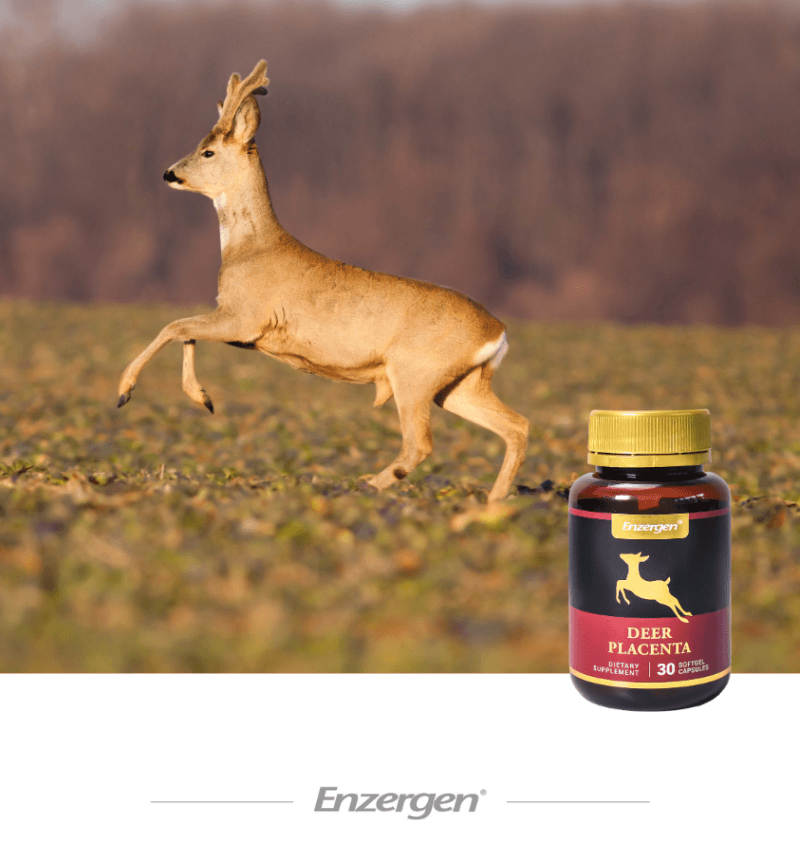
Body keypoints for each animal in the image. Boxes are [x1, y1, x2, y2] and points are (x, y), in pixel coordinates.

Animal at [117, 60, 529, 502]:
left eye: (208, 151)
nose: (168, 173)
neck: (251, 248)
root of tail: (497, 330)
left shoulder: (245, 317)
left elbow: (174, 326)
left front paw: (126, 391)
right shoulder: (237, 324)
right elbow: (185, 332)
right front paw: (203, 399)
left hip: (415, 372)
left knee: (421, 442)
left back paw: (366, 485)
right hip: (459, 385)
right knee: (516, 425)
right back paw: (495, 501)